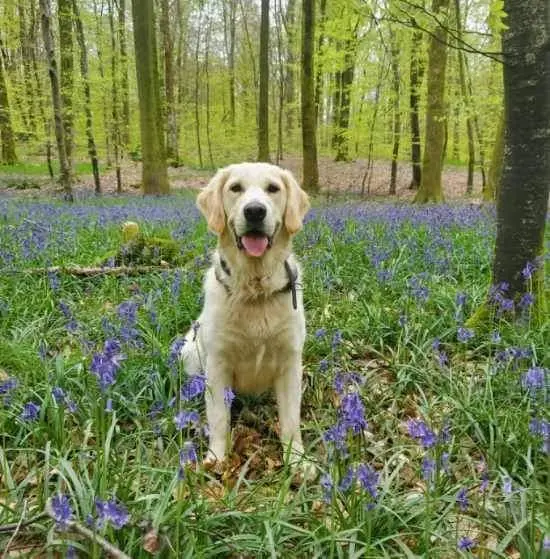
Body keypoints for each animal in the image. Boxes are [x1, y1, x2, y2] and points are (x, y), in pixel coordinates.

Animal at [181, 161, 310, 472]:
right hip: (189, 353)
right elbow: (219, 418)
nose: (254, 211)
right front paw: (216, 459)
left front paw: (298, 461)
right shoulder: (218, 364)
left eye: (273, 188)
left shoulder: (290, 362)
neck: (256, 289)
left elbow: (291, 421)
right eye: (235, 187)